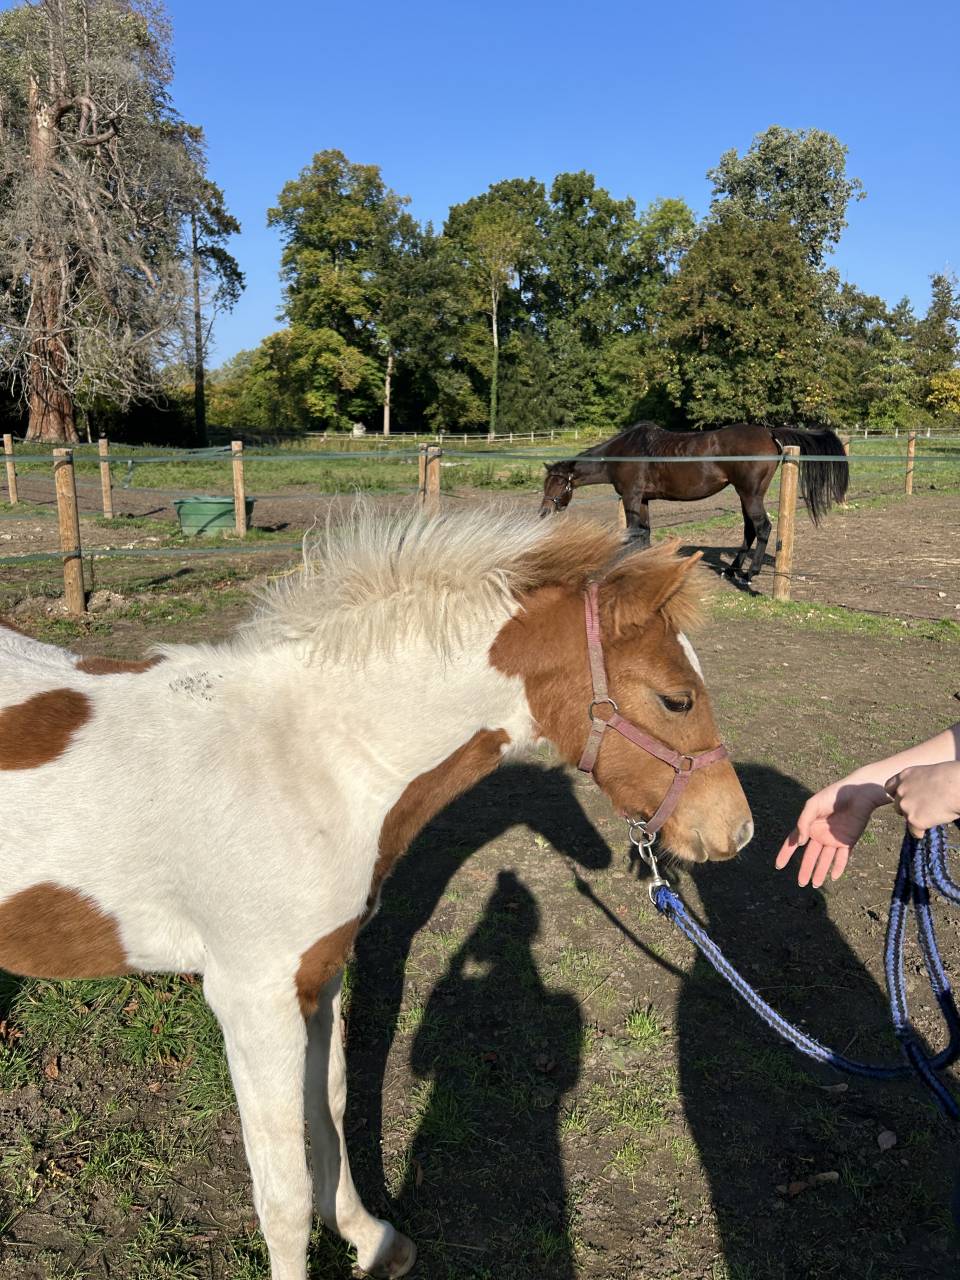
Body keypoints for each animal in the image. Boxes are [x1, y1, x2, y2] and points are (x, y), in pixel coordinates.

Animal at [0, 504, 752, 1280]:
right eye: (676, 699)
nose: (736, 830)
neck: (308, 762)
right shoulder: (250, 998)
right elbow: (283, 1191)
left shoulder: (321, 975)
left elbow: (330, 1105)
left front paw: (368, 1236)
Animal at [539, 421, 849, 582]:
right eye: (546, 482)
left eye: (558, 482)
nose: (544, 511)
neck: (624, 451)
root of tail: (770, 433)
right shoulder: (643, 500)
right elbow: (645, 534)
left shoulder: (631, 497)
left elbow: (632, 532)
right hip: (746, 495)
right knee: (750, 530)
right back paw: (732, 569)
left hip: (750, 495)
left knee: (762, 528)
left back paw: (750, 574)